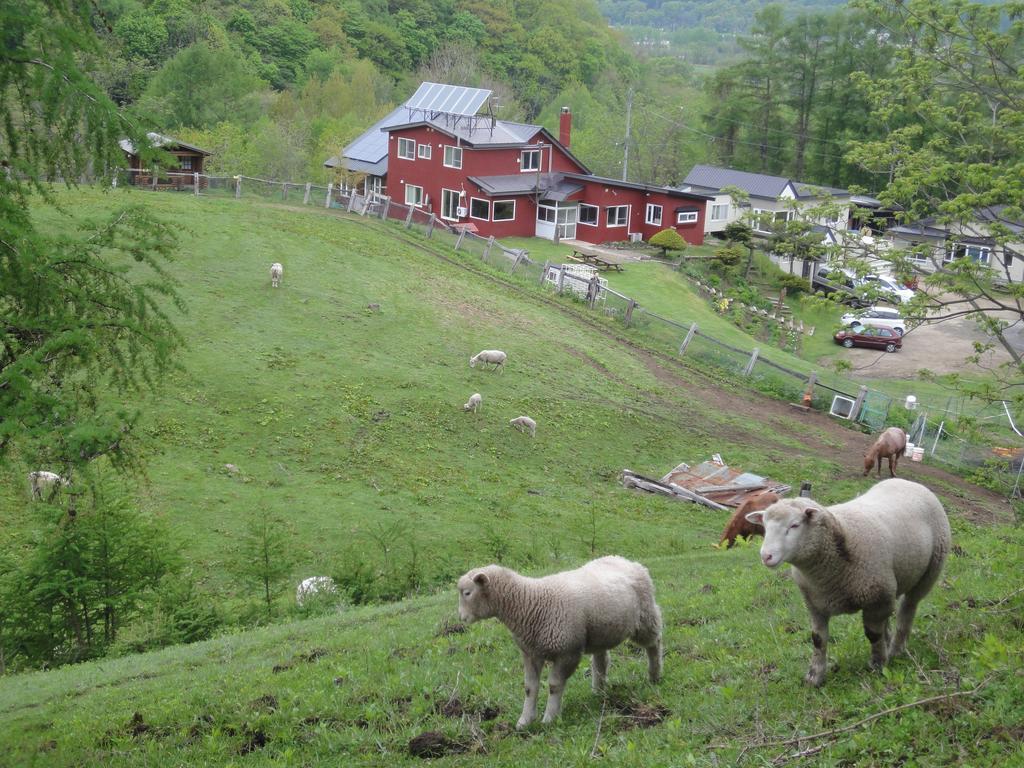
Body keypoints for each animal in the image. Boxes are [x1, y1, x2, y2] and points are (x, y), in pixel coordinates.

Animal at [458, 557, 663, 729]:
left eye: (467, 593)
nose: (461, 618)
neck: (529, 603)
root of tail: (627, 560)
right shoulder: (530, 653)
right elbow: (529, 688)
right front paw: (524, 721)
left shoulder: (568, 652)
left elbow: (554, 685)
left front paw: (550, 718)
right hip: (600, 631)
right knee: (601, 660)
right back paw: (598, 691)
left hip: (645, 617)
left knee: (654, 642)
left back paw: (654, 675)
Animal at [745, 479, 950, 688]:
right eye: (765, 526)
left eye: (794, 525)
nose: (766, 556)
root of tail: (909, 482)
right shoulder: (815, 603)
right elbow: (818, 640)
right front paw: (815, 676)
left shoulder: (877, 595)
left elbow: (872, 635)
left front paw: (878, 665)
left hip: (928, 571)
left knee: (907, 609)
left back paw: (896, 650)